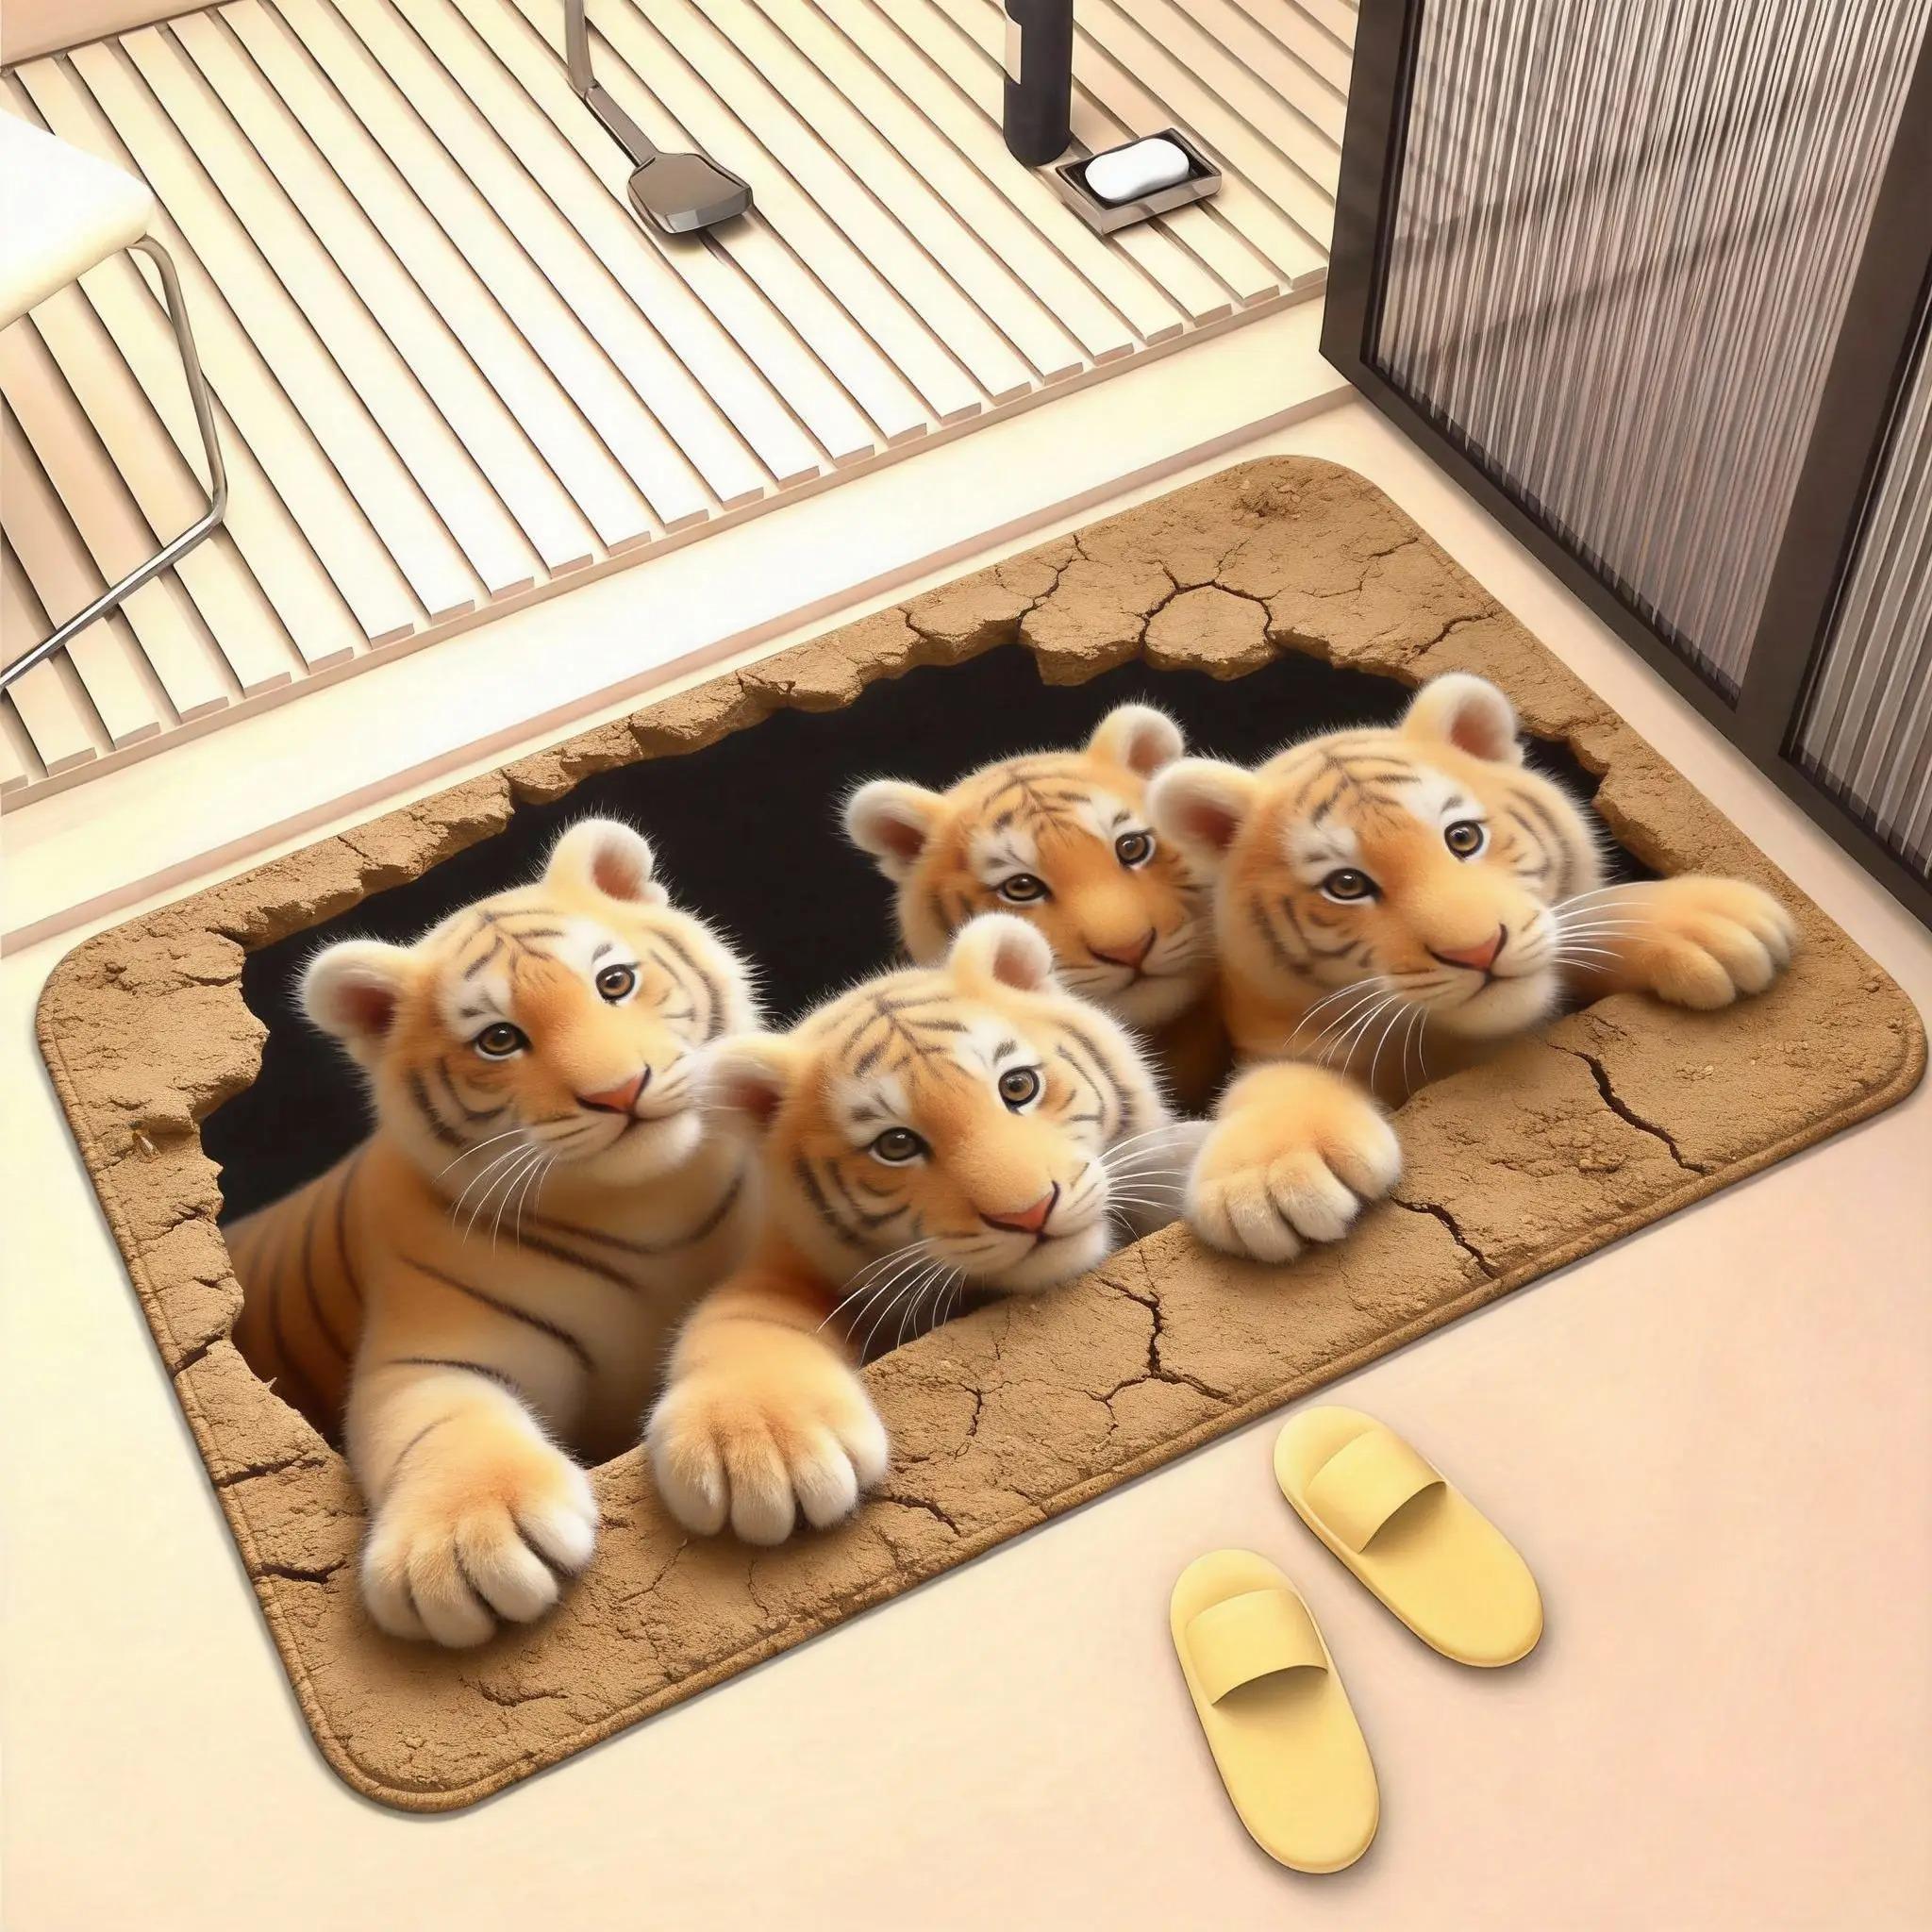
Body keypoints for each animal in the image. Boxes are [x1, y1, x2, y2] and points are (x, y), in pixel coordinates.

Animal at [224, 818, 761, 1647]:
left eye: (614, 982)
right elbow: (443, 1424)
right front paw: (465, 1546)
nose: (620, 1092)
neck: (645, 1203)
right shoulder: (431, 1351)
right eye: (499, 1040)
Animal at [645, 911, 1194, 1545]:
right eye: (897, 1145)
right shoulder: (782, 1269)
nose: (1030, 1211)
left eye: (1018, 1086)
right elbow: (744, 1317)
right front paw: (764, 1447)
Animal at [1146, 672, 1799, 1263]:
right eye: (1347, 885)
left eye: (1462, 837)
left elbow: (1594, 913)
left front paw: (1716, 919)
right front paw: (1270, 1179)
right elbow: (1280, 1080)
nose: (1479, 948)